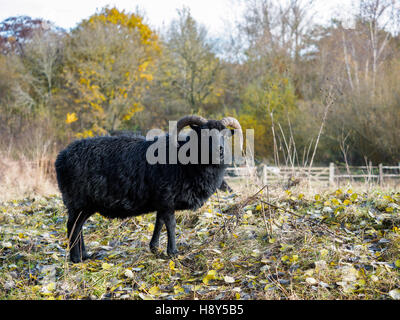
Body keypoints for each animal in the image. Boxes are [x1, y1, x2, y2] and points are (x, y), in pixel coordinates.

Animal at [54, 115, 242, 262]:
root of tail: (60, 158)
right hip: (79, 200)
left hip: (85, 204)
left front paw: (155, 248)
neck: (186, 162)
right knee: (73, 226)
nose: (219, 151)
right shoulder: (167, 199)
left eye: (225, 135)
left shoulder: (162, 201)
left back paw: (85, 254)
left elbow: (159, 223)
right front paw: (173, 252)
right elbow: (171, 225)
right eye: (203, 134)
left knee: (78, 226)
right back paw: (76, 258)